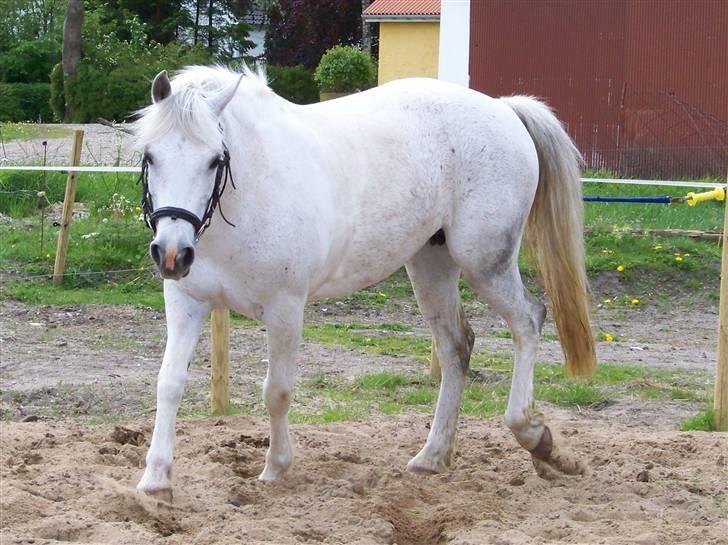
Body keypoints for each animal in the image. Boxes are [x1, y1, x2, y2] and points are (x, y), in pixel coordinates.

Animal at [134, 65, 596, 498]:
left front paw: (276, 468)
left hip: (485, 263)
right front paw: (155, 479)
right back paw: (432, 456)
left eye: (215, 159)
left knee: (528, 321)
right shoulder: (185, 303)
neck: (249, 194)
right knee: (456, 347)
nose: (172, 254)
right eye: (150, 156)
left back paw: (535, 437)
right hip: (431, 265)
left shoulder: (285, 311)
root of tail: (503, 109)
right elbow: (168, 384)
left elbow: (276, 391)